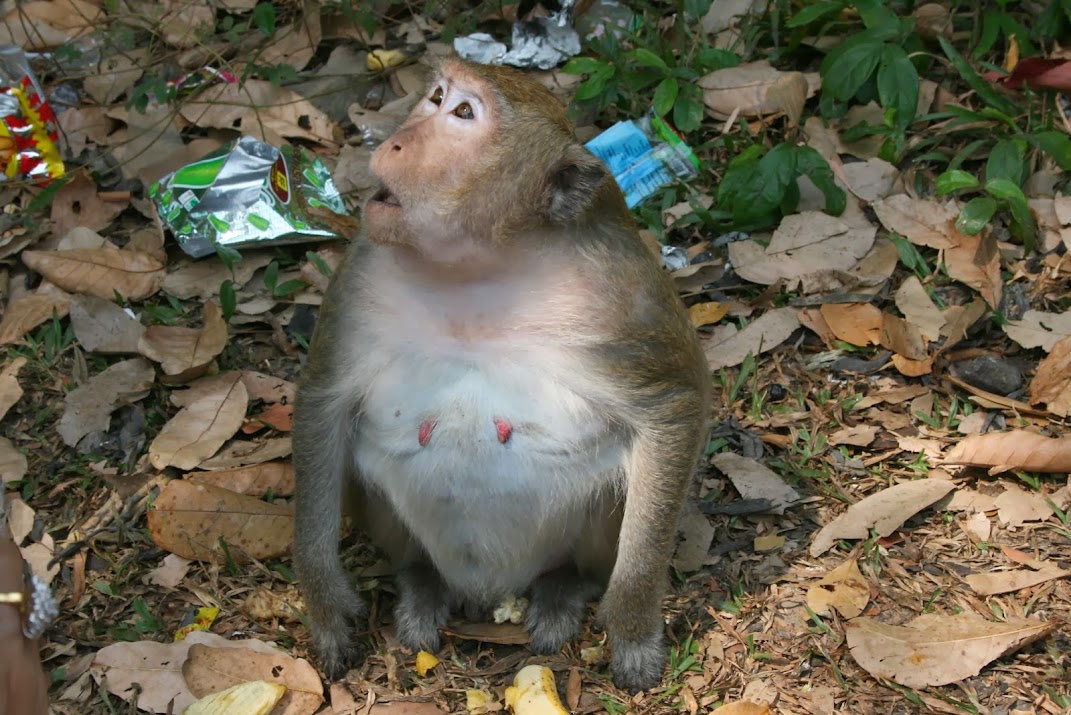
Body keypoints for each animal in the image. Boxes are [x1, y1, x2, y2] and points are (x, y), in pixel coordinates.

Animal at [293, 57, 711, 693]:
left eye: (464, 113)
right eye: (435, 97)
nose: (395, 140)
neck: (480, 267)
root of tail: (486, 593)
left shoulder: (623, 295)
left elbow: (672, 409)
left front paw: (634, 627)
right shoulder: (360, 275)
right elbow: (323, 403)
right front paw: (327, 604)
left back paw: (564, 587)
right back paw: (421, 583)